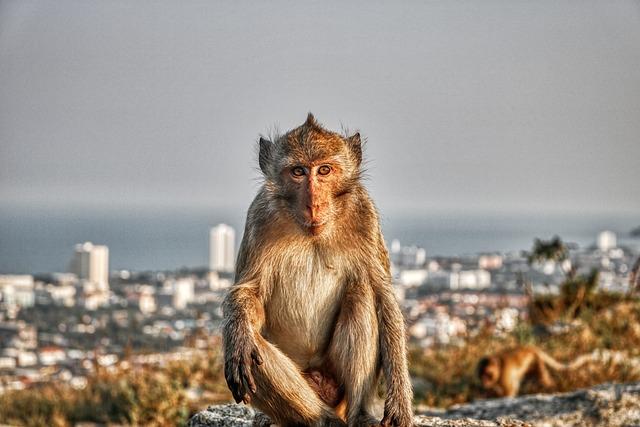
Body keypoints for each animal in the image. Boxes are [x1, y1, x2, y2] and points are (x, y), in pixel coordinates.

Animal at [220, 114, 412, 427]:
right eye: (298, 172)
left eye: (324, 170)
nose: (314, 203)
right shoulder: (259, 216)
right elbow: (250, 293)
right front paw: (237, 335)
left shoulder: (364, 213)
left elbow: (383, 297)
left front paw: (399, 404)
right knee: (254, 350)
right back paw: (319, 419)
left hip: (338, 386)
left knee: (361, 294)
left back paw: (359, 414)